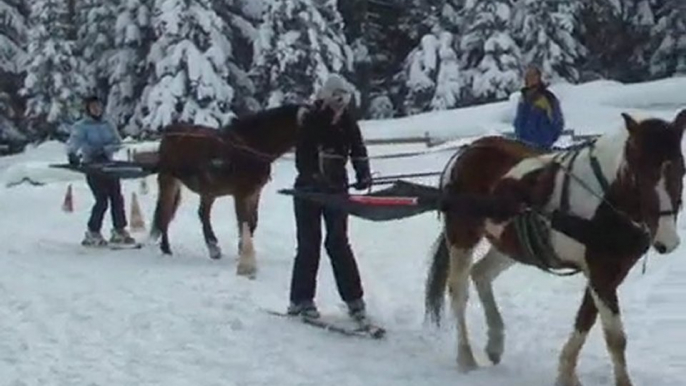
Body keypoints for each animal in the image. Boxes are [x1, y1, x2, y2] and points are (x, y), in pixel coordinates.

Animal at [153, 103, 310, 278]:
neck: (251, 145)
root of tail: (169, 131)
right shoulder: (240, 194)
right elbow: (244, 222)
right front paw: (244, 257)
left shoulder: (254, 193)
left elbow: (252, 223)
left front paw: (243, 251)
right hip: (169, 181)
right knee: (165, 212)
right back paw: (166, 248)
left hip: (208, 190)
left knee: (202, 214)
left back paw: (213, 248)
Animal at [424, 109, 686, 386]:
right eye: (640, 174)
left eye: (681, 169)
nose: (667, 240)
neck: (605, 197)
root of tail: (468, 150)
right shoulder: (601, 273)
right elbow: (615, 337)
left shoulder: (608, 274)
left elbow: (585, 321)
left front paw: (566, 374)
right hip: (462, 236)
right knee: (458, 291)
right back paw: (466, 357)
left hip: (509, 243)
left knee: (481, 273)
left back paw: (494, 343)